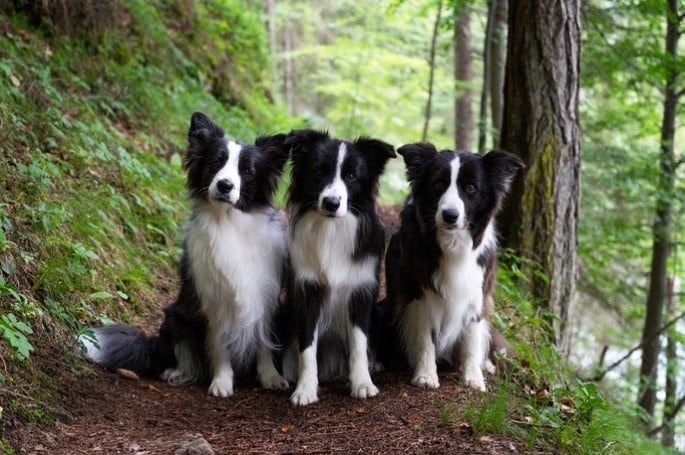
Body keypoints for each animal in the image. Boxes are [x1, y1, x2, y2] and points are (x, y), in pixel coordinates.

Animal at [82, 112, 288, 398]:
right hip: (176, 317)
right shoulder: (211, 298)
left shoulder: (265, 296)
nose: (225, 185)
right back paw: (178, 371)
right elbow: (219, 344)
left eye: (247, 171)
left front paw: (271, 377)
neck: (229, 224)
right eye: (215, 163)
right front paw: (222, 382)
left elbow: (264, 343)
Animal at [280, 129, 396, 406]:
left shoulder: (361, 293)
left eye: (352, 176)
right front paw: (305, 389)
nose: (331, 203)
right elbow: (307, 348)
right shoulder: (306, 292)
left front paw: (362, 383)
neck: (331, 230)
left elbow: (358, 344)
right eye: (319, 172)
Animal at [380, 145, 524, 392]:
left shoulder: (478, 293)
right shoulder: (418, 292)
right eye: (438, 184)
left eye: (471, 188)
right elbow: (425, 338)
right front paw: (426, 375)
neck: (453, 243)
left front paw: (474, 377)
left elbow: (472, 339)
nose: (450, 215)